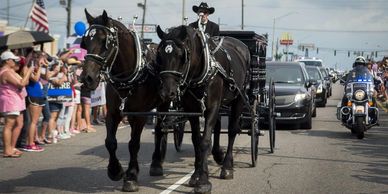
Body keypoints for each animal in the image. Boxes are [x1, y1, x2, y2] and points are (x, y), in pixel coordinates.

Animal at [81, 9, 167, 192]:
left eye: (104, 41)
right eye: (86, 41)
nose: (86, 78)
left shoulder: (140, 115)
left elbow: (133, 144)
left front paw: (131, 176)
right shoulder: (113, 112)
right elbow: (110, 142)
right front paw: (115, 171)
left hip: (164, 104)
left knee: (160, 130)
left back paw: (157, 163)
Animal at [155, 25, 250, 193]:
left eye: (181, 56)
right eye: (159, 56)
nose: (167, 92)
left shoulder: (212, 106)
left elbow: (205, 141)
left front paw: (204, 181)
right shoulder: (192, 109)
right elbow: (196, 140)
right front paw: (195, 175)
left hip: (239, 98)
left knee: (232, 130)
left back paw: (227, 166)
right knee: (218, 127)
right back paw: (219, 156)